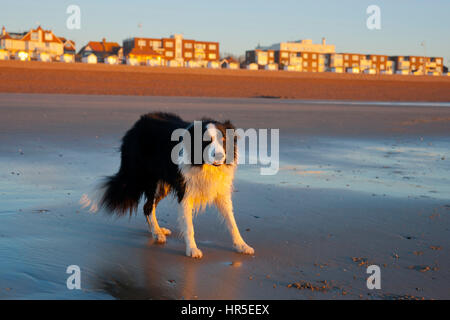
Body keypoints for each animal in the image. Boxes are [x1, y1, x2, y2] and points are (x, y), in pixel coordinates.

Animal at [81, 111, 255, 258]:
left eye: (223, 140)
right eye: (205, 141)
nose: (219, 155)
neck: (203, 165)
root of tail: (136, 126)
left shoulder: (220, 191)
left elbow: (232, 222)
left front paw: (242, 245)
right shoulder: (185, 191)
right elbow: (189, 226)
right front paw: (192, 250)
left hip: (162, 185)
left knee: (148, 207)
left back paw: (158, 230)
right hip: (149, 178)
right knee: (148, 206)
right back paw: (157, 234)